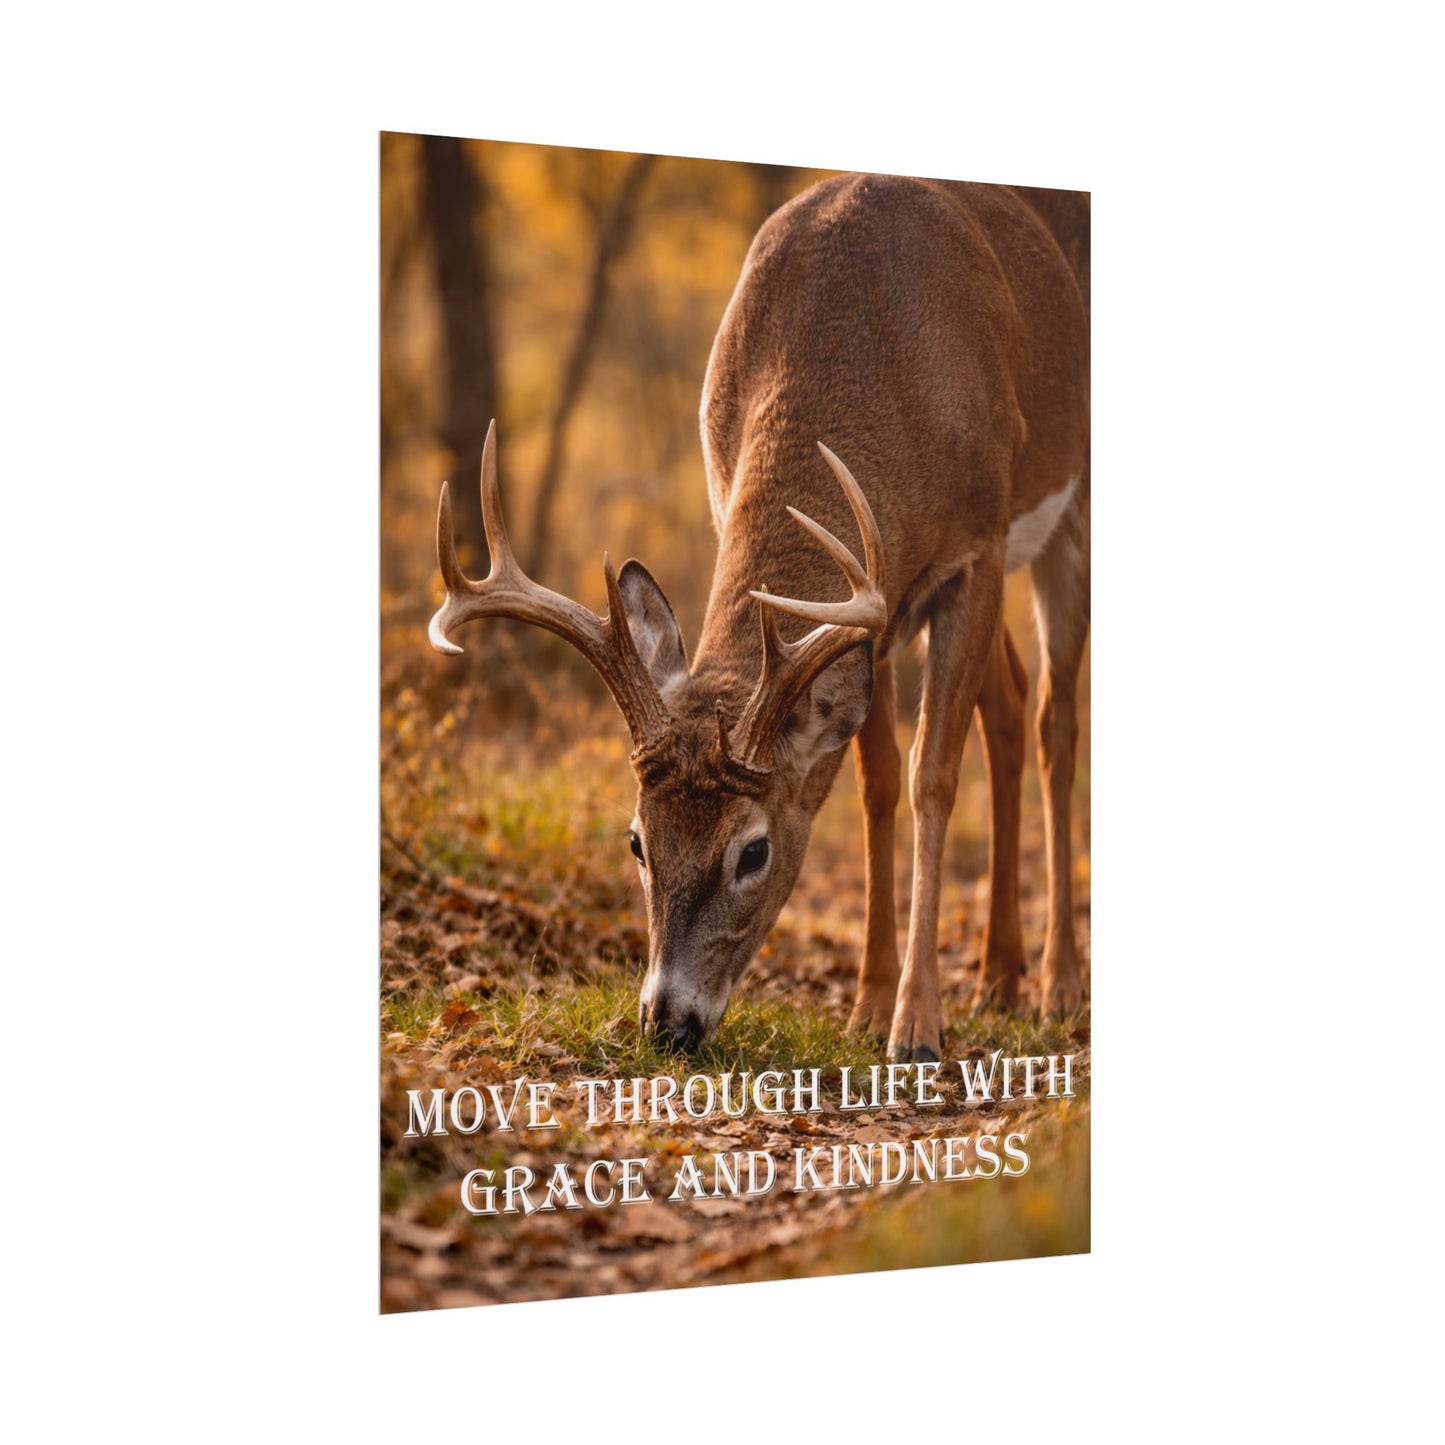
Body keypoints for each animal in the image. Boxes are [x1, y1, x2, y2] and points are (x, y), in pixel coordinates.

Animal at [429, 174, 1089, 1063]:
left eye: (753, 850)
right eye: (636, 839)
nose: (668, 1022)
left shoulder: (974, 548)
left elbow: (931, 777)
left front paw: (915, 1024)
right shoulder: (867, 600)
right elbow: (877, 781)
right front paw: (869, 1004)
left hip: (1066, 512)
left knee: (1056, 718)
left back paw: (1056, 984)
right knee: (1014, 704)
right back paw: (999, 975)